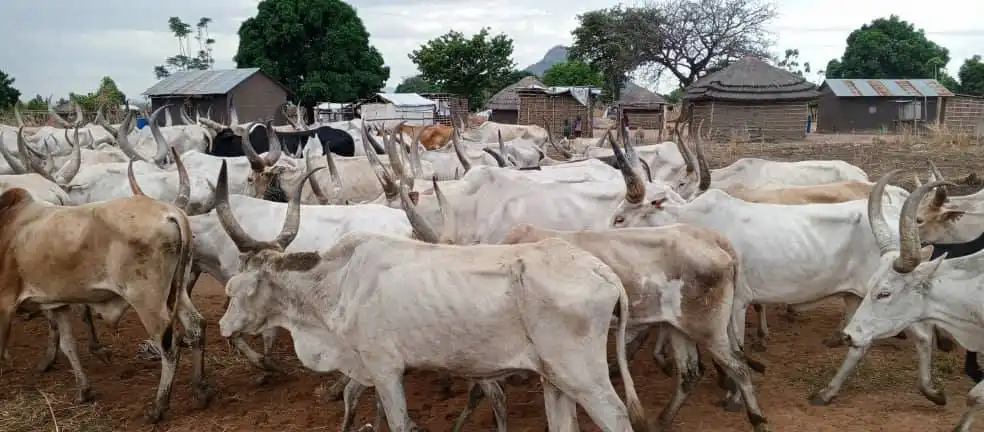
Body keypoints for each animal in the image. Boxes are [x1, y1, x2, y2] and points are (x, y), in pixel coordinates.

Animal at [0, 168, 209, 423]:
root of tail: (170, 213)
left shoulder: (4, 303)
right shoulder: (56, 304)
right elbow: (68, 345)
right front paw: (84, 390)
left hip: (147, 299)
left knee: (169, 345)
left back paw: (158, 407)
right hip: (176, 290)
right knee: (195, 327)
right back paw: (200, 390)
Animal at [213, 168, 649, 431]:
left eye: (236, 287)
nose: (224, 326)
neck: (339, 283)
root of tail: (601, 270)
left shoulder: (384, 368)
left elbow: (397, 421)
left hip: (584, 377)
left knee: (616, 415)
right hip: (554, 378)